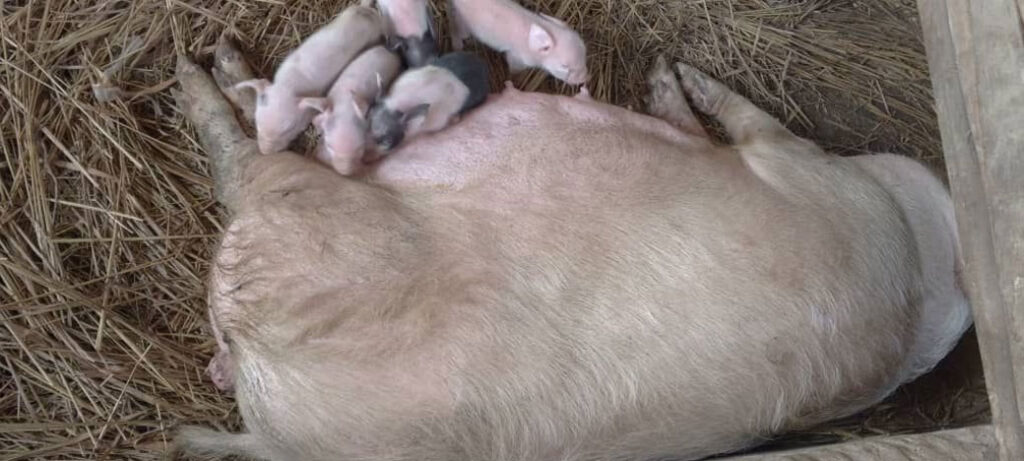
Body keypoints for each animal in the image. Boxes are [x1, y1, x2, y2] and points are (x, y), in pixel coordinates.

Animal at [235, 5, 385, 154]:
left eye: (289, 128)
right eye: (257, 121)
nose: (265, 151)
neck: (288, 84)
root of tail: (367, 11)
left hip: (374, 34)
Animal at [298, 46, 402, 175]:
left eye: (360, 147)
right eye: (329, 146)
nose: (344, 172)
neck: (345, 104)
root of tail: (390, 50)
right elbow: (316, 116)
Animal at [449, 0, 588, 85]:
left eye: (584, 54)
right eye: (564, 66)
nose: (586, 78)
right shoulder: (516, 58)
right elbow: (514, 71)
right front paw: (516, 80)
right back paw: (458, 46)